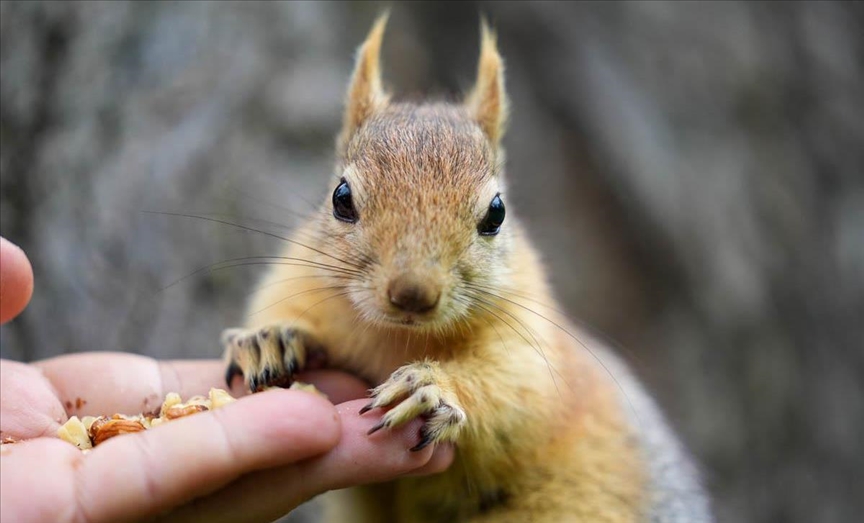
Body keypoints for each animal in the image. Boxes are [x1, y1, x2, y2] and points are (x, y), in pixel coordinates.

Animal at [219, 14, 712, 520]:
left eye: (497, 212)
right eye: (341, 198)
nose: (412, 293)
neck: (398, 338)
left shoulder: (534, 340)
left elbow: (517, 390)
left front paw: (431, 388)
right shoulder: (298, 275)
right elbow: (275, 304)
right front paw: (270, 339)